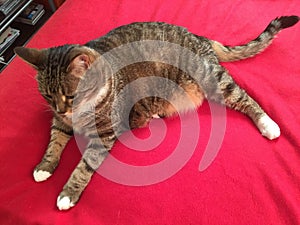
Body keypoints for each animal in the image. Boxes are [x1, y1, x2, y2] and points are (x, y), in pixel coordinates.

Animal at [13, 14, 298, 210]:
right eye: (48, 96)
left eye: (71, 96)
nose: (61, 108)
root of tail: (199, 37)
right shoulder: (59, 121)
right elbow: (54, 141)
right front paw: (44, 166)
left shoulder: (105, 133)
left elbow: (85, 163)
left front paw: (67, 194)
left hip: (211, 79)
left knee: (243, 97)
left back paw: (268, 124)